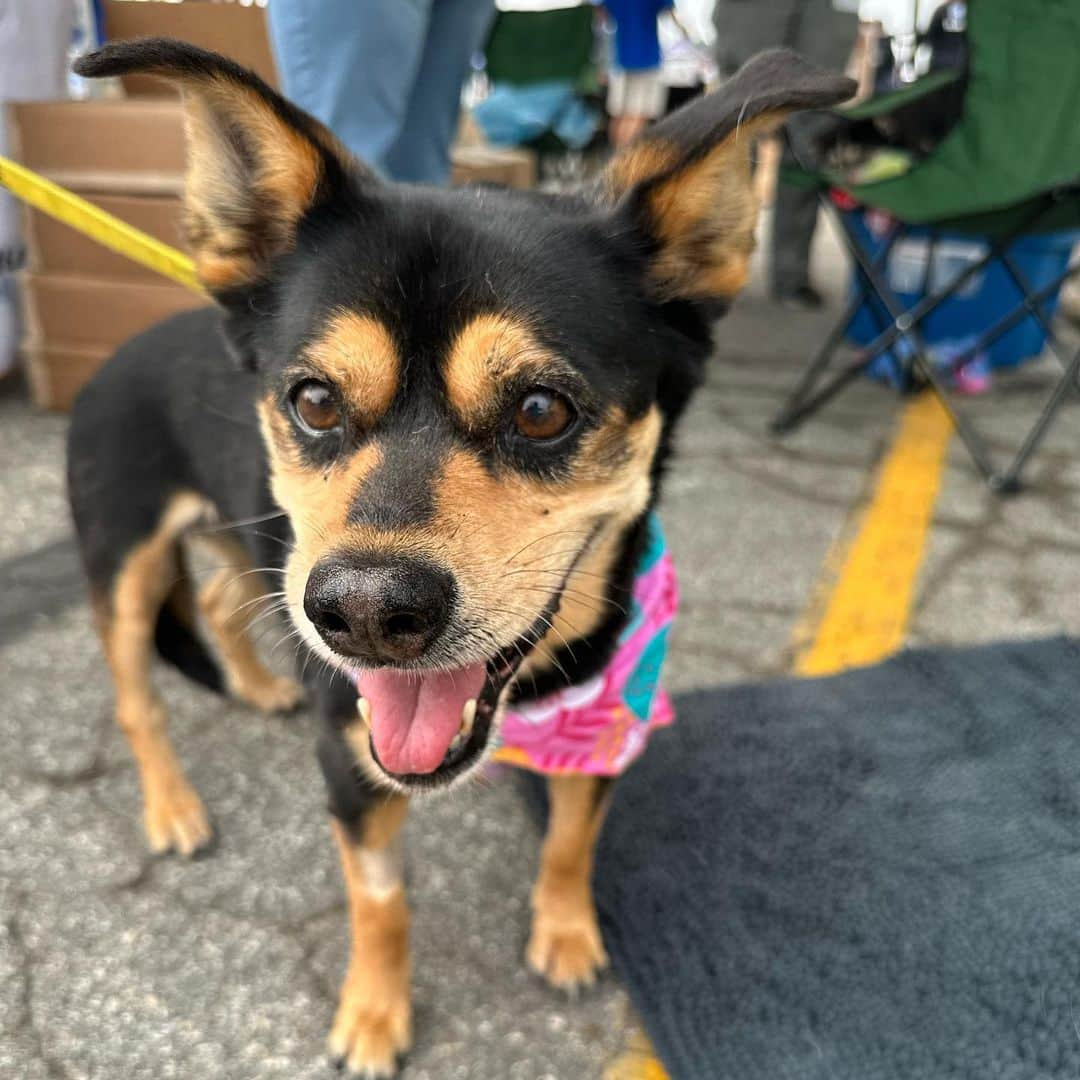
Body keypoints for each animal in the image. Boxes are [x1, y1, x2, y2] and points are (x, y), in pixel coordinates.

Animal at [65, 39, 851, 1080]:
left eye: (542, 409)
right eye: (314, 400)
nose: (364, 615)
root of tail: (122, 349)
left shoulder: (605, 726)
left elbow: (570, 843)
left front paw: (565, 935)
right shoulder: (351, 762)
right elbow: (380, 901)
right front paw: (373, 1014)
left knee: (231, 605)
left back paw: (258, 686)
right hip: (126, 567)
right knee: (137, 696)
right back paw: (172, 808)